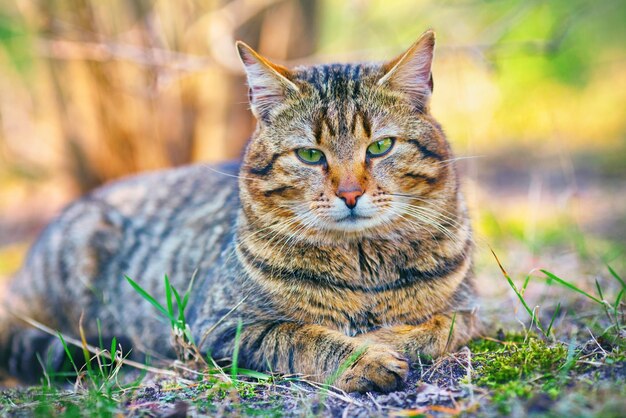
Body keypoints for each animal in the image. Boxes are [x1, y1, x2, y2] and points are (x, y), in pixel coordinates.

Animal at [1, 29, 478, 392]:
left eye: (380, 147)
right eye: (310, 155)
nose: (349, 193)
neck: (363, 266)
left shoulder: (472, 308)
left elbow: (439, 326)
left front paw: (384, 340)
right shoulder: (220, 326)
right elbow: (302, 336)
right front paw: (365, 357)